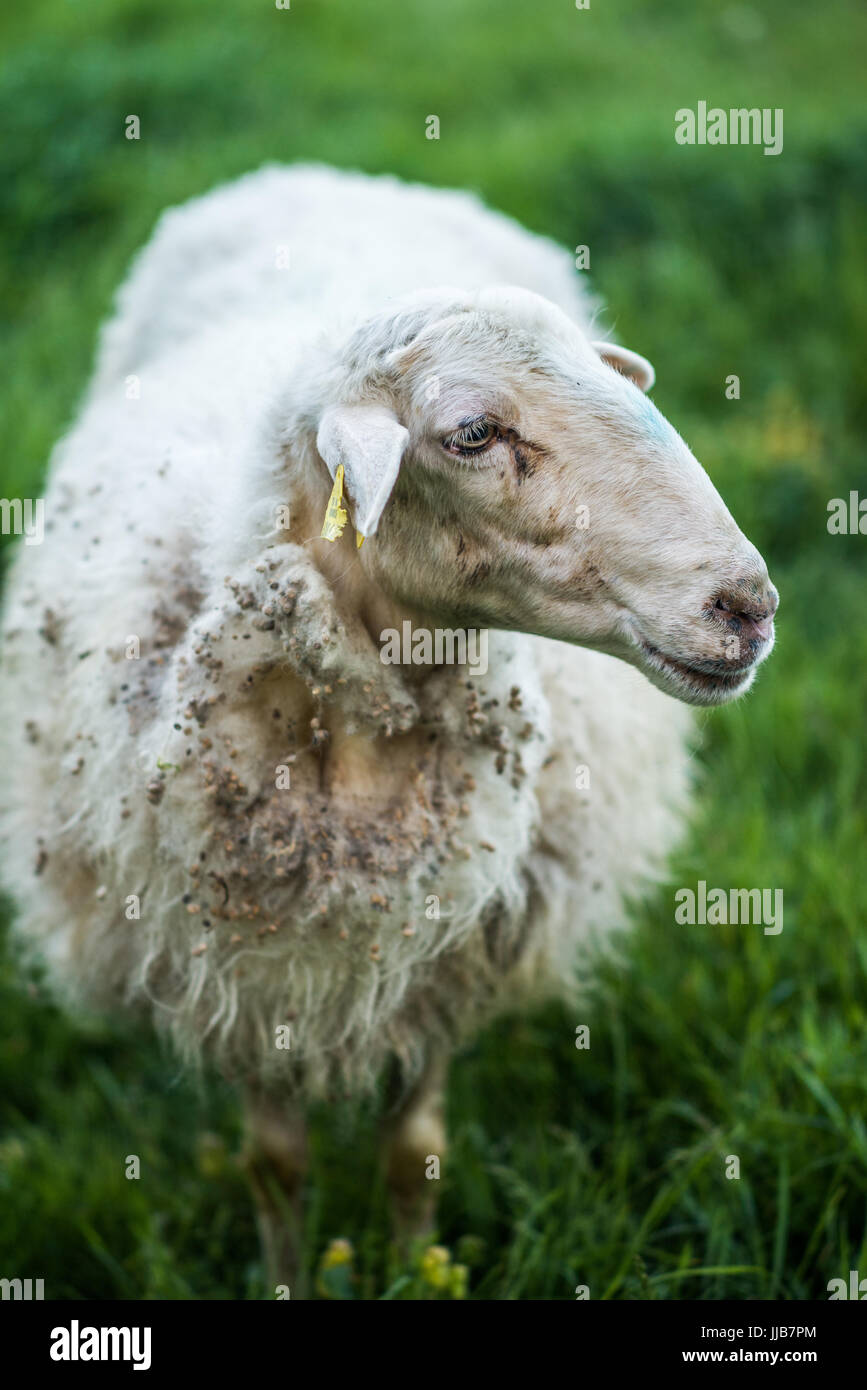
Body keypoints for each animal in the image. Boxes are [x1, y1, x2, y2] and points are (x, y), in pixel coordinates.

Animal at [0, 163, 778, 1284]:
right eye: (472, 433)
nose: (747, 606)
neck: (356, 753)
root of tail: (324, 173)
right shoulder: (237, 953)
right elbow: (272, 1162)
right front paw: (288, 1278)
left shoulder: (443, 949)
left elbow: (415, 1151)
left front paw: (420, 1272)